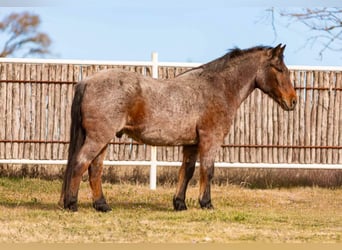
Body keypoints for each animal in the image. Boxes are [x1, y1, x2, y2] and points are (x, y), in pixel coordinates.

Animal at [58, 44, 296, 212]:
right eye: (279, 69)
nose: (293, 101)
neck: (217, 88)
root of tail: (86, 82)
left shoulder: (191, 144)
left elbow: (187, 171)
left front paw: (179, 203)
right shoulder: (210, 140)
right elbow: (207, 170)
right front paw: (206, 203)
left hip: (103, 140)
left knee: (95, 169)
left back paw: (102, 205)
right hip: (98, 138)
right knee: (80, 163)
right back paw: (71, 204)